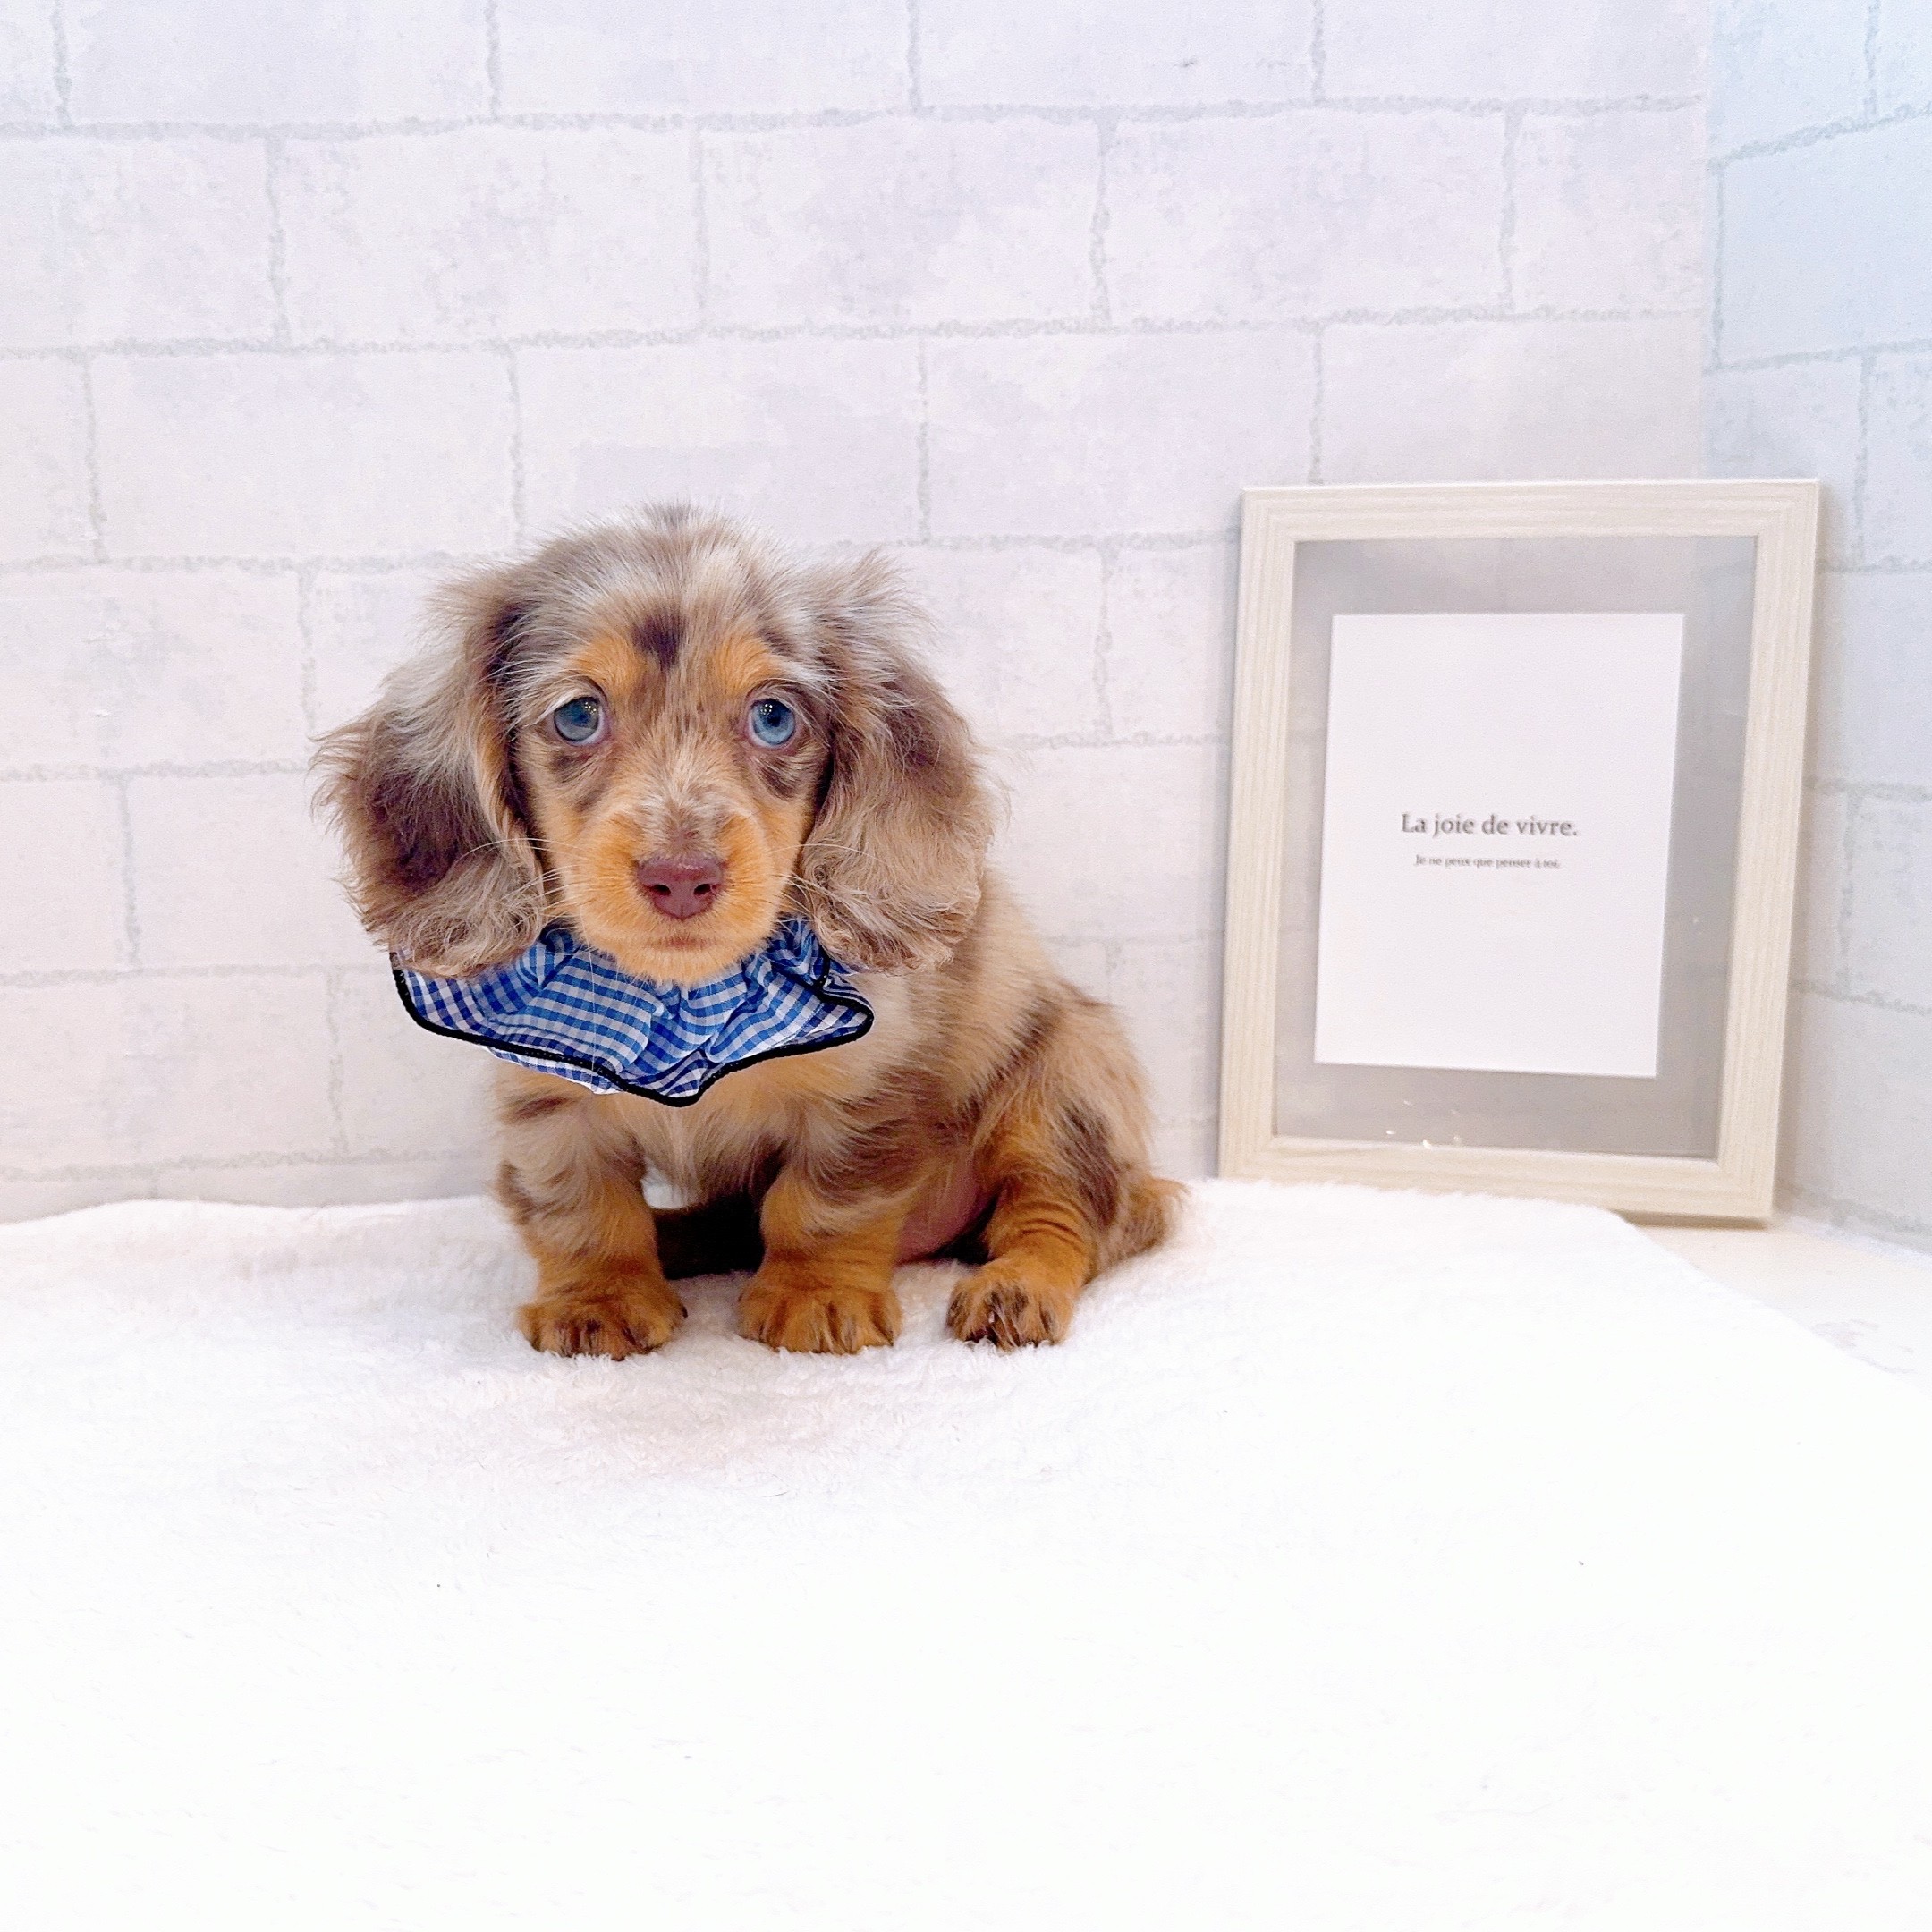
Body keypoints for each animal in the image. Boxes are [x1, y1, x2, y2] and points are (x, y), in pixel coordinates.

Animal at [316, 506, 1175, 1355]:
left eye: (773, 717)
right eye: (578, 716)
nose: (682, 878)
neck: (679, 993)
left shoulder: (865, 1093)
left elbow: (823, 1204)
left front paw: (816, 1295)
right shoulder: (551, 1100)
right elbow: (582, 1207)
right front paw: (598, 1298)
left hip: (1064, 1081)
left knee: (1062, 1213)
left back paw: (1016, 1289)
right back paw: (674, 1240)